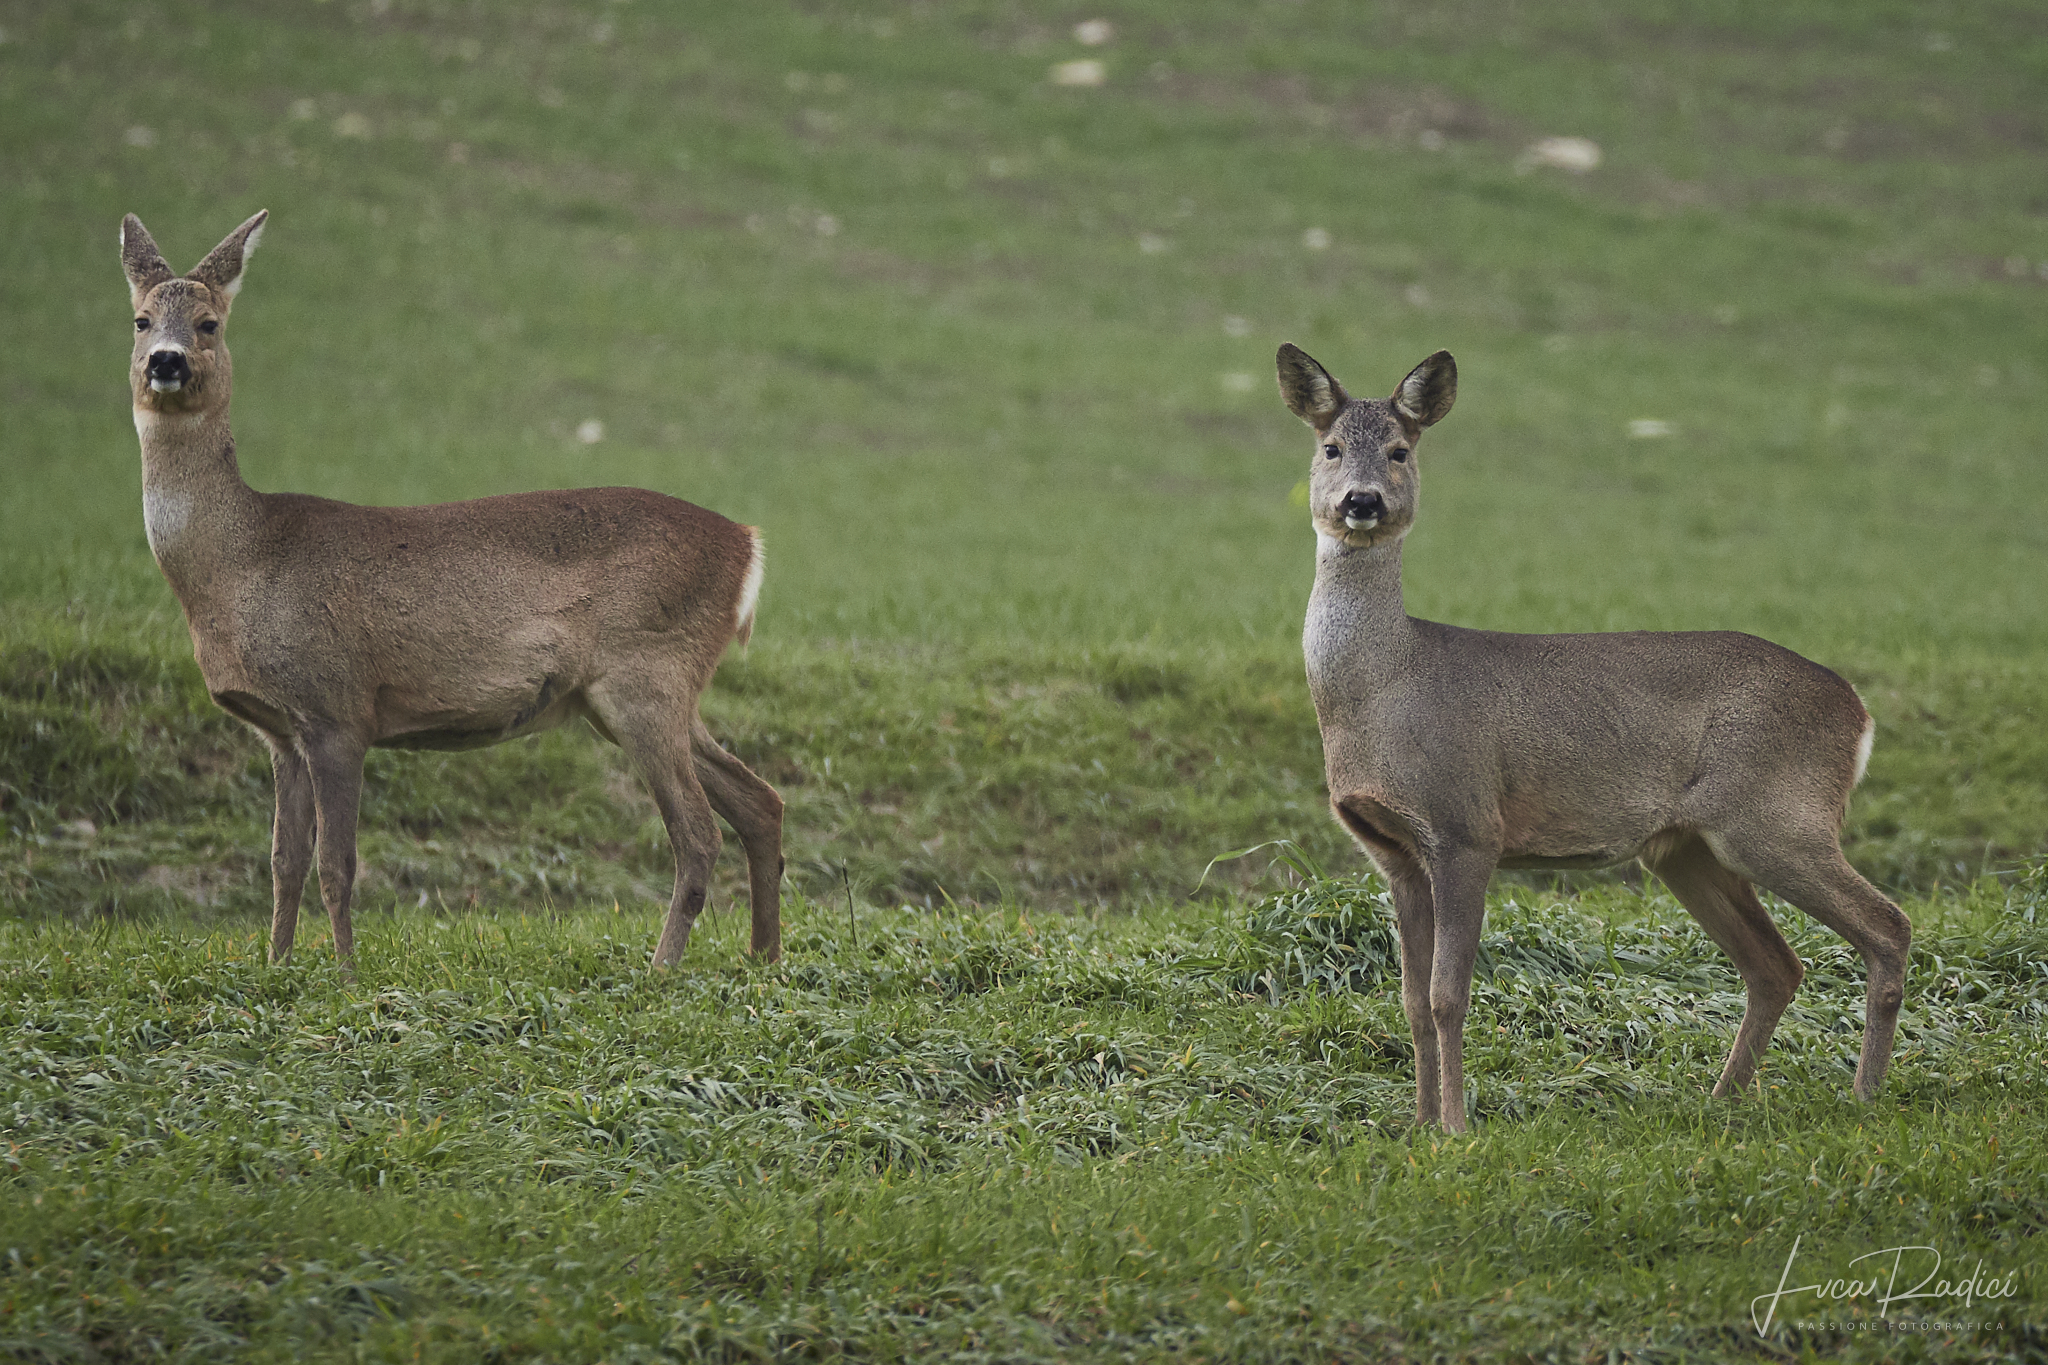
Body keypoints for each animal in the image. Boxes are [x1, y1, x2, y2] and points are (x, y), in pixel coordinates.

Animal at [121, 210, 784, 971]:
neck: (241, 564)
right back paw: (764, 959)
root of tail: (747, 544)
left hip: (645, 674)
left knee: (699, 833)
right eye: (140, 319)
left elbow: (336, 864)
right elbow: (283, 860)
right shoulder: (280, 730)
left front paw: (344, 975)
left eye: (209, 323)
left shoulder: (338, 707)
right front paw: (276, 965)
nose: (165, 361)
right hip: (645, 694)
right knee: (760, 801)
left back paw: (663, 968)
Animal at [1274, 343, 1912, 1132]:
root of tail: (1858, 711)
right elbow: (1411, 1001)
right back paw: (1721, 1100)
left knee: (1888, 926)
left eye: (1399, 450)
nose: (1361, 501)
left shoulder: (1467, 826)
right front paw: (1416, 1125)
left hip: (1777, 817)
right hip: (1689, 848)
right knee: (1776, 964)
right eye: (1330, 447)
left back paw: (1864, 1096)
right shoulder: (1393, 851)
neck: (1383, 689)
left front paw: (1455, 1128)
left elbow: (1448, 995)